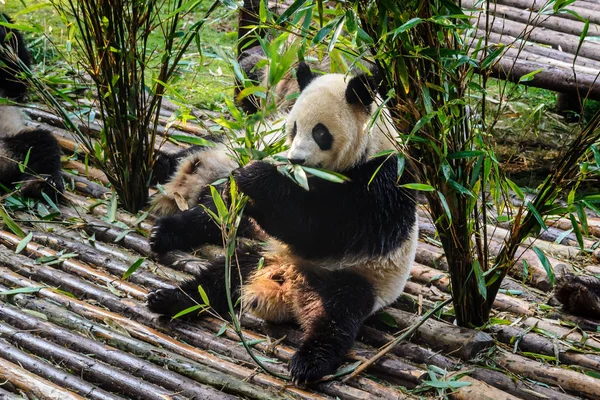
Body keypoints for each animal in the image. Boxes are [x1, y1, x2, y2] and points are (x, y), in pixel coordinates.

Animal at [146, 63, 418, 384]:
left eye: (320, 132)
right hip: (258, 257)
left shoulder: (381, 182)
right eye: (294, 128)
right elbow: (227, 212)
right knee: (219, 279)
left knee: (338, 316)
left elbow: (321, 228)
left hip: (359, 278)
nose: (296, 159)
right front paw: (237, 191)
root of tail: (288, 278)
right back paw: (169, 296)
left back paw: (310, 363)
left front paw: (253, 179)